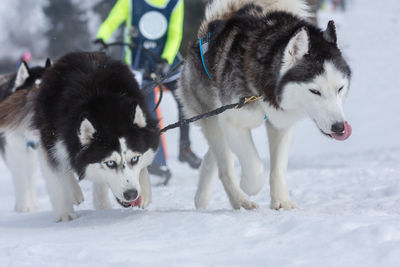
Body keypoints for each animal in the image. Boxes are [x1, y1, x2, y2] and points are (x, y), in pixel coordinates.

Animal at [0, 52, 159, 222]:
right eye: (110, 163)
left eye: (135, 159)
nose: (131, 194)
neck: (104, 108)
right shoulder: (51, 145)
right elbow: (56, 178)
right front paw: (65, 214)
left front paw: (144, 188)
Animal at [178, 0, 350, 211]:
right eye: (315, 91)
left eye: (340, 88)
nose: (339, 127)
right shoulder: (232, 121)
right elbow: (255, 166)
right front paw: (250, 185)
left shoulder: (281, 125)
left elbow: (278, 169)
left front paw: (282, 201)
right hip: (213, 118)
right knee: (225, 166)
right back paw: (241, 201)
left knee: (214, 157)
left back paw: (202, 197)